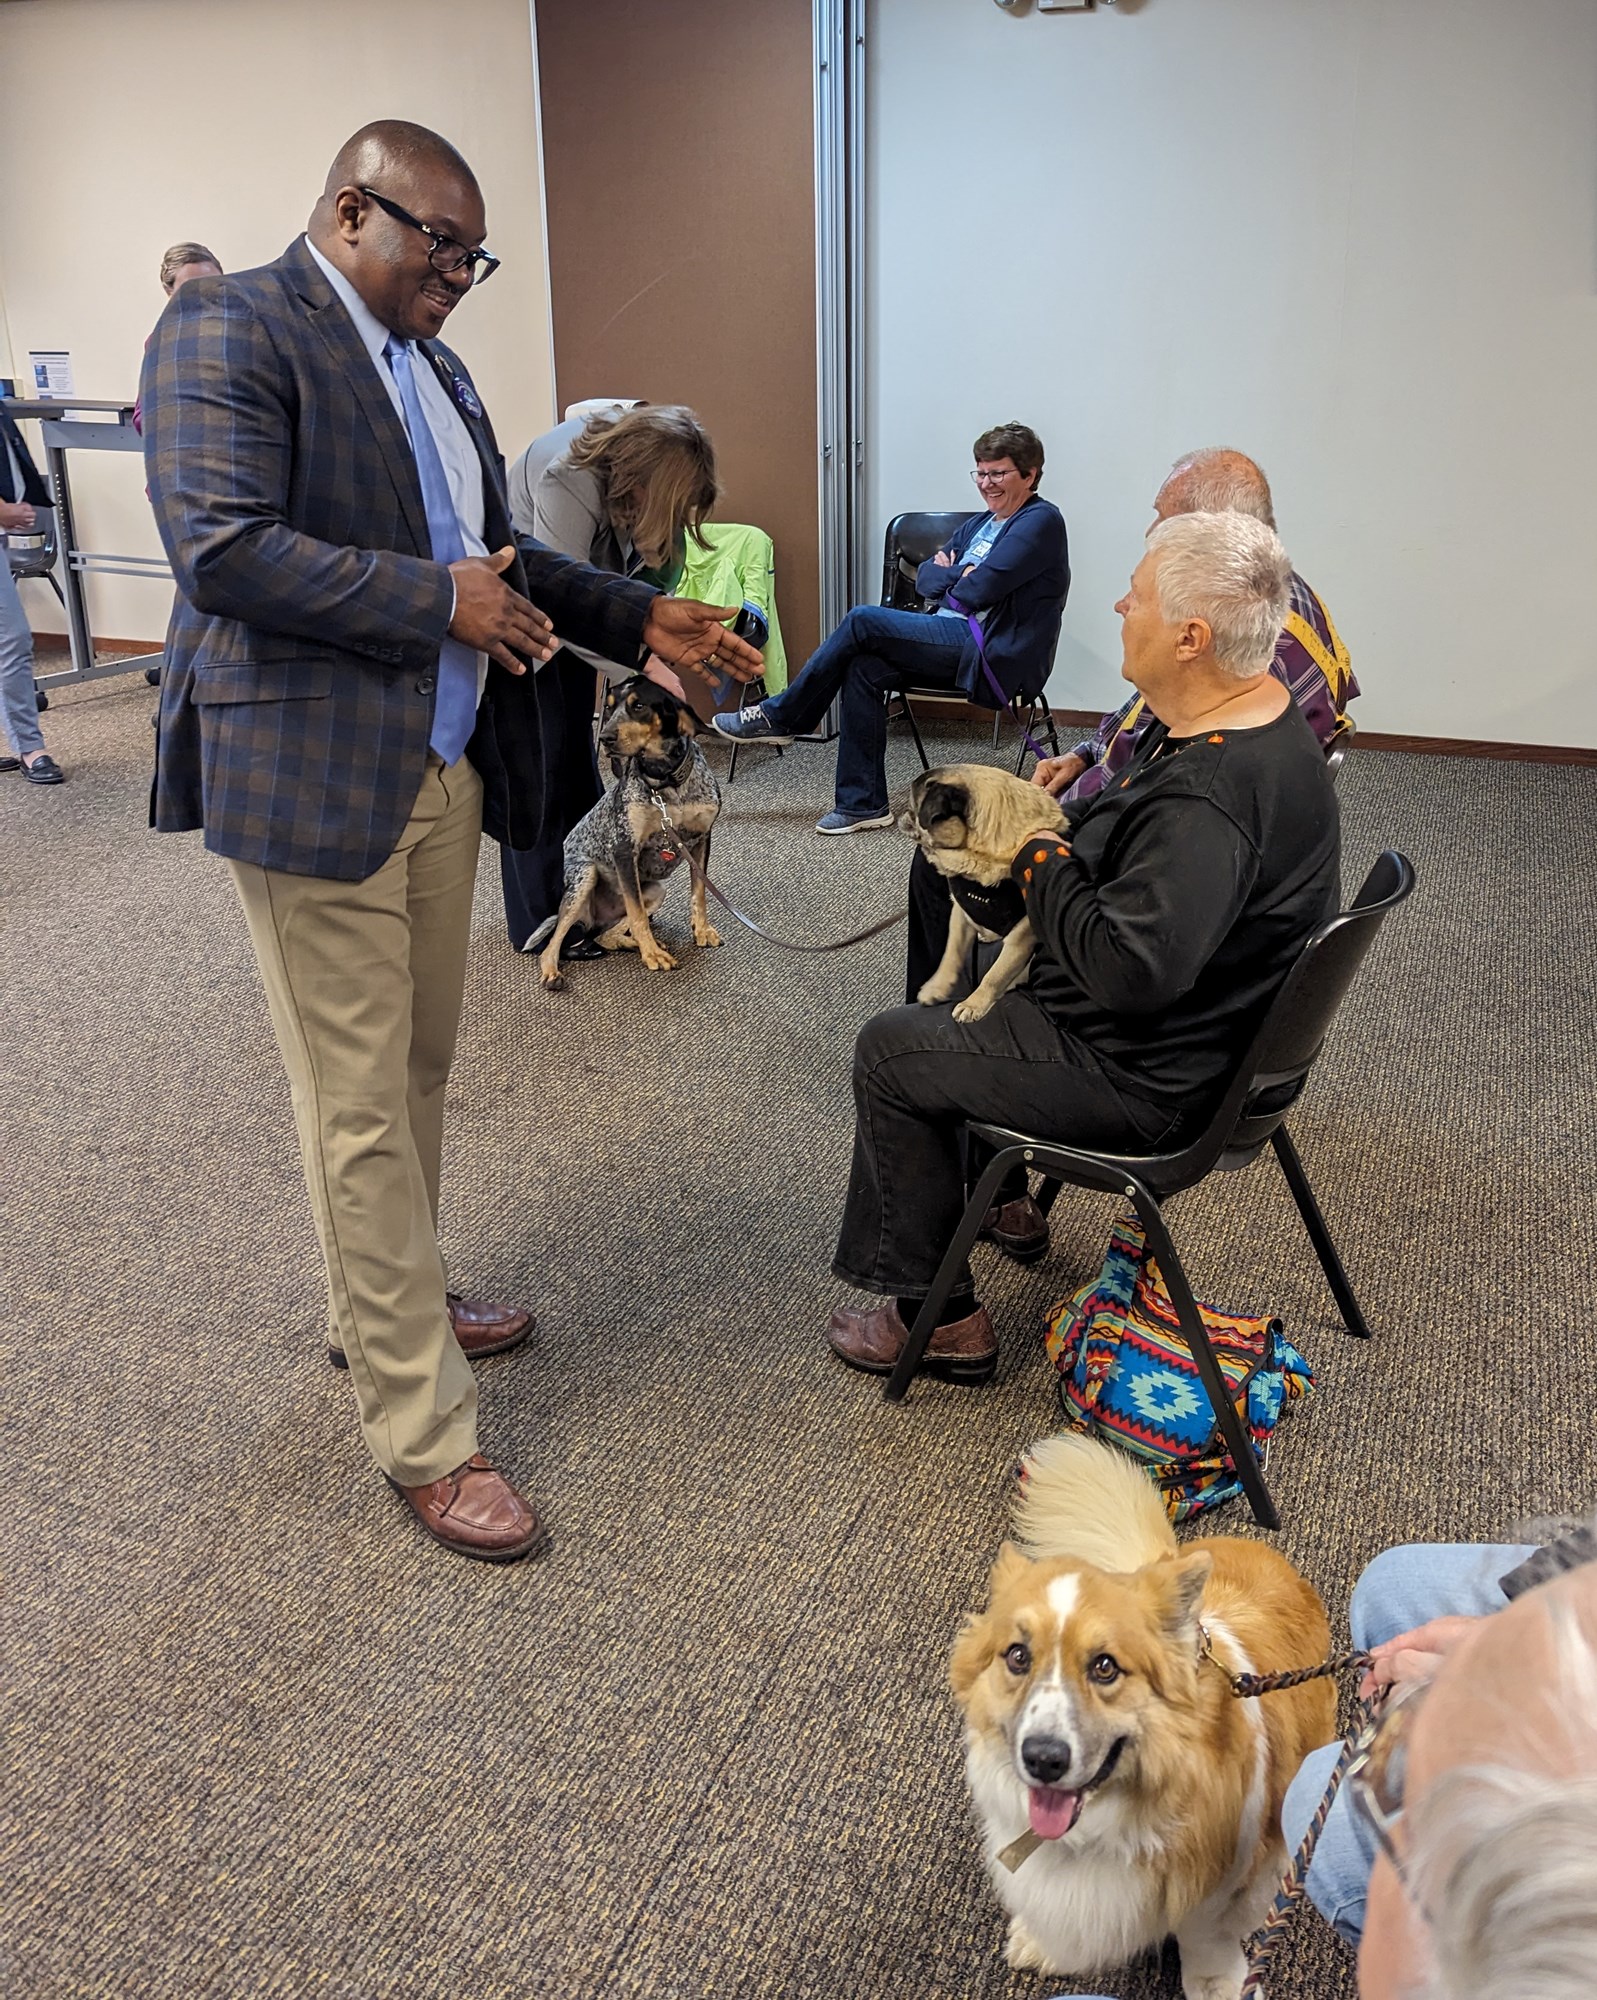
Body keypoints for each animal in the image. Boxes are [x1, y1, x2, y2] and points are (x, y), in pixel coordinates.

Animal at [952, 1440, 1336, 2000]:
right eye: (1018, 1657)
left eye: (1105, 1667)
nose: (1043, 1759)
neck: (1109, 1822)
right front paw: (1045, 1944)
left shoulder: (1232, 1877)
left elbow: (1206, 1938)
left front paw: (1218, 1986)